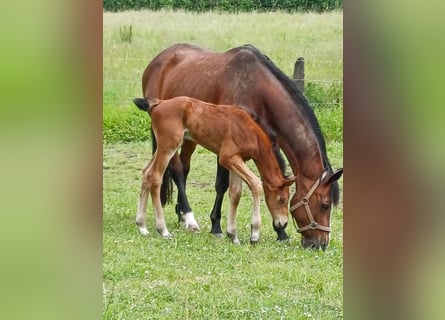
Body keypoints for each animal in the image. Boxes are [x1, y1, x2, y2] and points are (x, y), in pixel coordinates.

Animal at [134, 96, 296, 244]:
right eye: (282, 199)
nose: (283, 223)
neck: (250, 132)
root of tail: (158, 103)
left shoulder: (237, 159)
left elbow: (235, 193)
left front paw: (232, 235)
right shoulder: (227, 157)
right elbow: (255, 184)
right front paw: (254, 233)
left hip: (163, 148)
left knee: (146, 172)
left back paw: (142, 226)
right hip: (169, 146)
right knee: (155, 176)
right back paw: (163, 230)